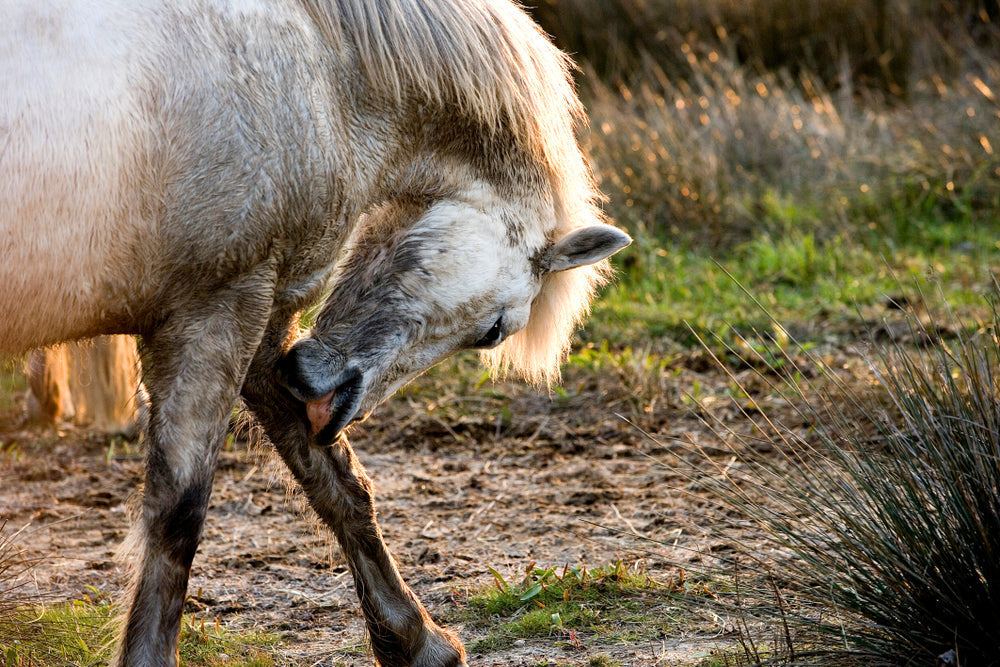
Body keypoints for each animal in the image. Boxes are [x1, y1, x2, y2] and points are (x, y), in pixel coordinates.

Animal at [0, 1, 630, 665]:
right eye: (494, 331)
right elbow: (178, 515)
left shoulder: (261, 321)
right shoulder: (218, 308)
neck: (326, 69)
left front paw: (416, 640)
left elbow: (335, 481)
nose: (326, 386)